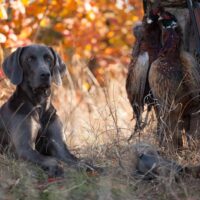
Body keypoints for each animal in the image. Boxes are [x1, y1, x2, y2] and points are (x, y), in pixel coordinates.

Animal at [0, 45, 93, 177]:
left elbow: (78, 161)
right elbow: (51, 159)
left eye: (49, 58)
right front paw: (57, 169)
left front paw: (92, 168)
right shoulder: (23, 148)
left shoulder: (60, 148)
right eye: (29, 59)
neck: (40, 106)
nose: (45, 74)